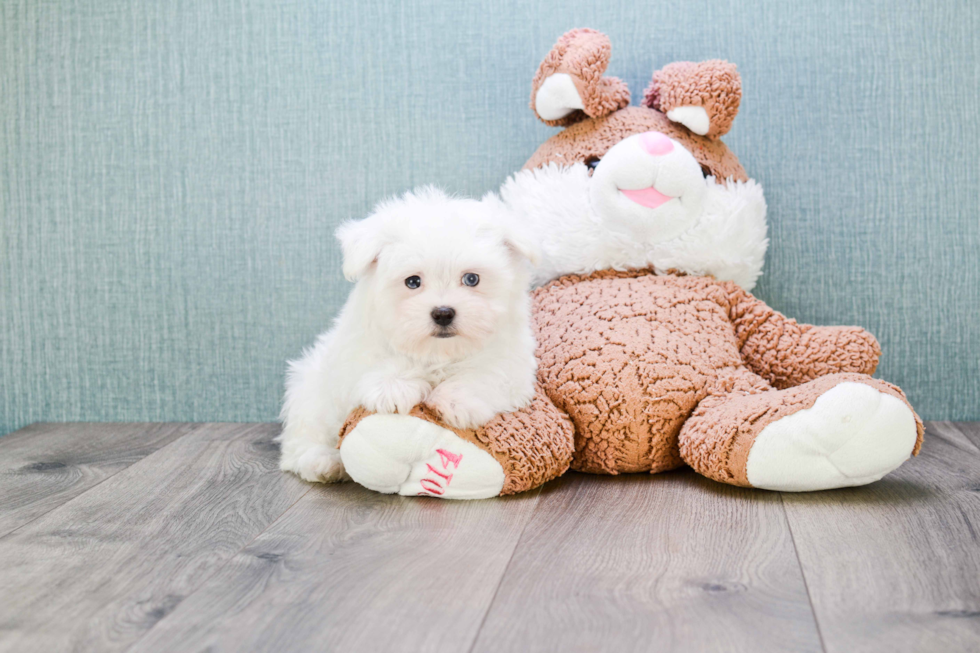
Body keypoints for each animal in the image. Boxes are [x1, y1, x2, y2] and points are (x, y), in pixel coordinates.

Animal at [276, 186, 540, 482]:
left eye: (472, 279)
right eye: (413, 282)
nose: (443, 313)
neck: (437, 353)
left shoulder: (512, 361)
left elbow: (488, 373)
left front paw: (458, 400)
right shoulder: (356, 349)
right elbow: (380, 361)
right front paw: (394, 388)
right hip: (310, 390)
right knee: (302, 438)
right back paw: (323, 461)